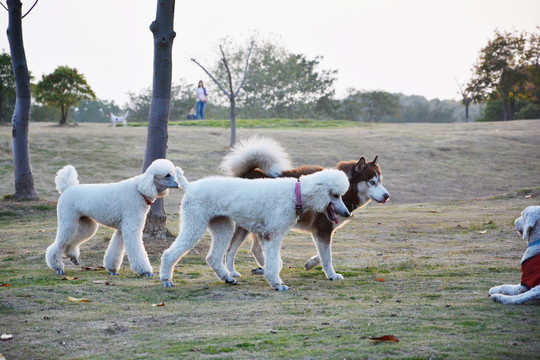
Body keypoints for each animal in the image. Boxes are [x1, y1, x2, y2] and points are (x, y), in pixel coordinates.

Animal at [46, 159, 179, 278]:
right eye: (167, 175)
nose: (178, 184)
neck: (140, 190)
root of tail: (67, 188)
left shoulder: (121, 229)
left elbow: (116, 249)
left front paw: (112, 269)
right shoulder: (131, 226)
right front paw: (145, 271)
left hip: (86, 224)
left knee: (72, 241)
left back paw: (72, 256)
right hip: (68, 221)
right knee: (59, 244)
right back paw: (58, 267)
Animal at [159, 167, 350, 292]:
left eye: (340, 195)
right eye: (335, 195)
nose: (347, 213)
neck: (295, 194)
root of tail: (190, 186)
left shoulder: (266, 236)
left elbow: (275, 262)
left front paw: (268, 275)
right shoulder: (273, 235)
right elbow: (273, 262)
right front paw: (277, 284)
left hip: (223, 227)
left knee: (213, 257)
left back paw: (227, 277)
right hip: (194, 224)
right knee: (169, 253)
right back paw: (166, 279)